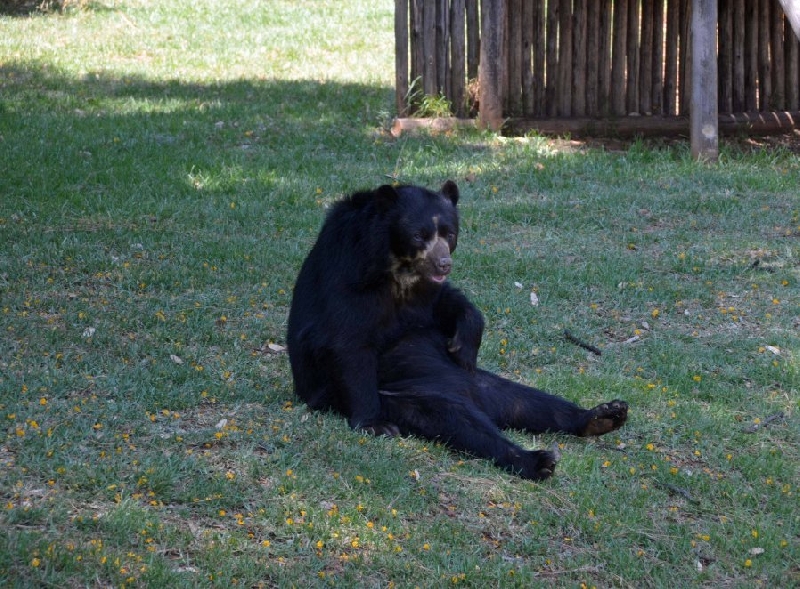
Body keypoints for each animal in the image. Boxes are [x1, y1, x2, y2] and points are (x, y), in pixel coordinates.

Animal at [284, 181, 628, 480]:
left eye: (449, 234)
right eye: (419, 236)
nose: (443, 263)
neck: (399, 270)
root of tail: (476, 400)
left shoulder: (427, 293)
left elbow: (448, 303)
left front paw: (463, 344)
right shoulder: (349, 273)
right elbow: (348, 341)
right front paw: (374, 424)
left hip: (484, 384)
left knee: (530, 402)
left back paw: (603, 416)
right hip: (404, 397)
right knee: (458, 422)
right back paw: (536, 460)